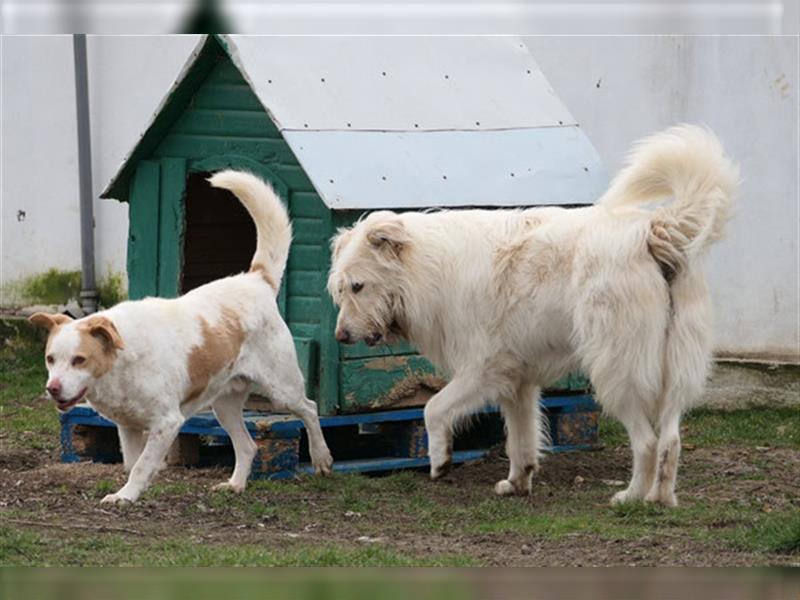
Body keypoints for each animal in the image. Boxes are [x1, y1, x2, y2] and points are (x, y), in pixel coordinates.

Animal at [31, 171, 332, 504]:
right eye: (50, 359)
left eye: (79, 360)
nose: (53, 388)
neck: (122, 364)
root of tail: (256, 280)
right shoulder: (128, 427)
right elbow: (132, 464)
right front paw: (129, 494)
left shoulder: (167, 422)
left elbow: (141, 465)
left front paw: (127, 496)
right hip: (224, 405)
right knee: (248, 445)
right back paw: (235, 484)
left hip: (281, 388)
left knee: (309, 408)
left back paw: (321, 458)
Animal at [326, 126, 736, 506]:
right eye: (341, 290)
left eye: (358, 286)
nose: (340, 337)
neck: (427, 268)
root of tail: (652, 230)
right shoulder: (517, 378)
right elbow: (520, 439)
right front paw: (518, 482)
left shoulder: (482, 367)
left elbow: (432, 408)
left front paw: (440, 459)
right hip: (676, 370)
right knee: (671, 439)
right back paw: (660, 499)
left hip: (616, 370)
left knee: (648, 441)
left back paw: (630, 497)